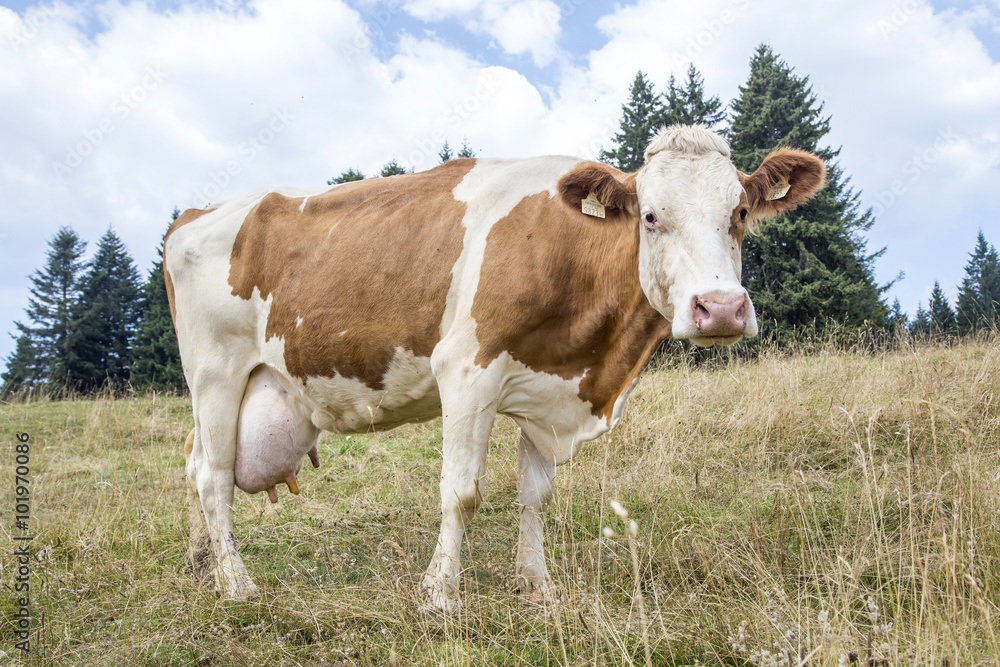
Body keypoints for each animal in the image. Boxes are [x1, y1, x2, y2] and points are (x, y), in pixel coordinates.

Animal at [164, 125, 820, 616]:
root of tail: (196, 213)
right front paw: (439, 595)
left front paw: (537, 586)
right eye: (651, 217)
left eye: (740, 212)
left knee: (194, 460)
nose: (721, 308)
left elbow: (536, 496)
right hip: (215, 373)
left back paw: (201, 565)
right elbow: (461, 492)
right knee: (213, 477)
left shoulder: (549, 388)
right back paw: (237, 586)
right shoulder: (466, 369)